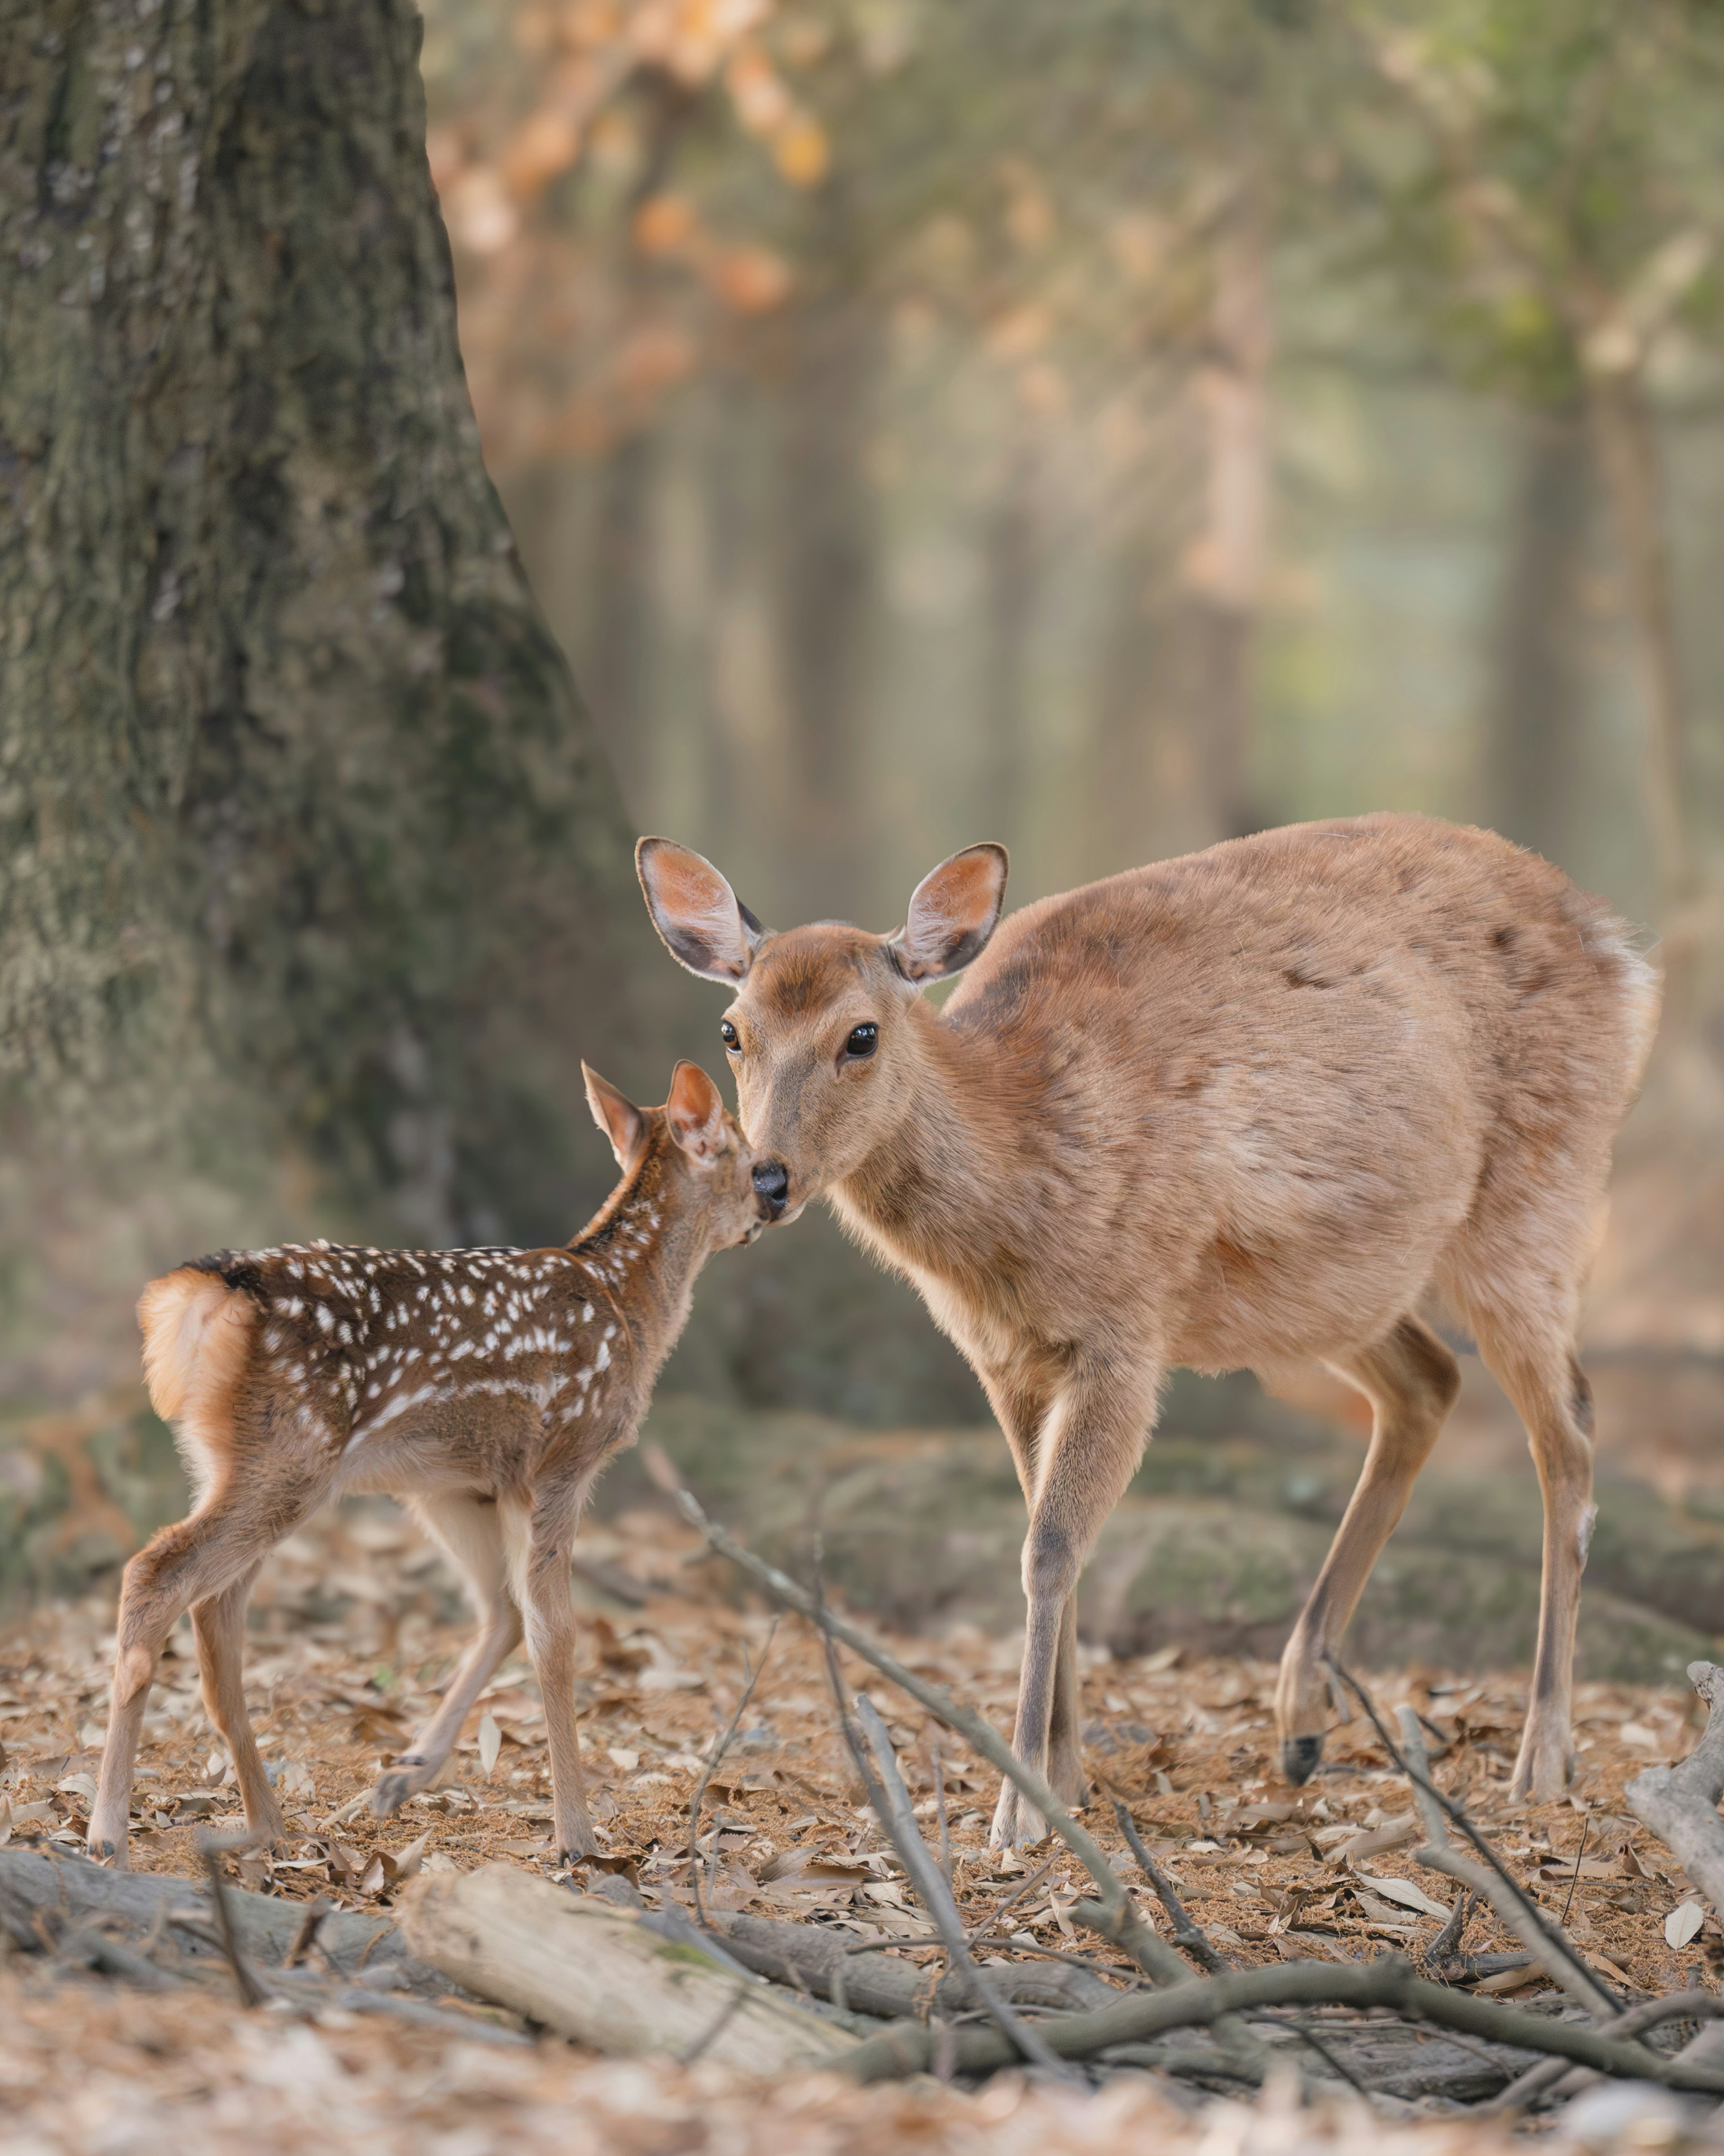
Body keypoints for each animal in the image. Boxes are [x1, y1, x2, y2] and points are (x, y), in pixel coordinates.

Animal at [638, 815, 1663, 1845]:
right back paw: (1302, 1722)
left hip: (1537, 1198)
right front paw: (1067, 1773)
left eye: (862, 1033)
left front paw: (1022, 1805)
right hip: (1331, 1282)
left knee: (1569, 1432)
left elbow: (1049, 1548)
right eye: (733, 1031)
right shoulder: (1003, 1357)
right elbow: (1046, 1534)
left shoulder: (1128, 1326)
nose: (768, 1178)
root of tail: (1622, 952)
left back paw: (1543, 1756)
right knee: (1428, 1383)